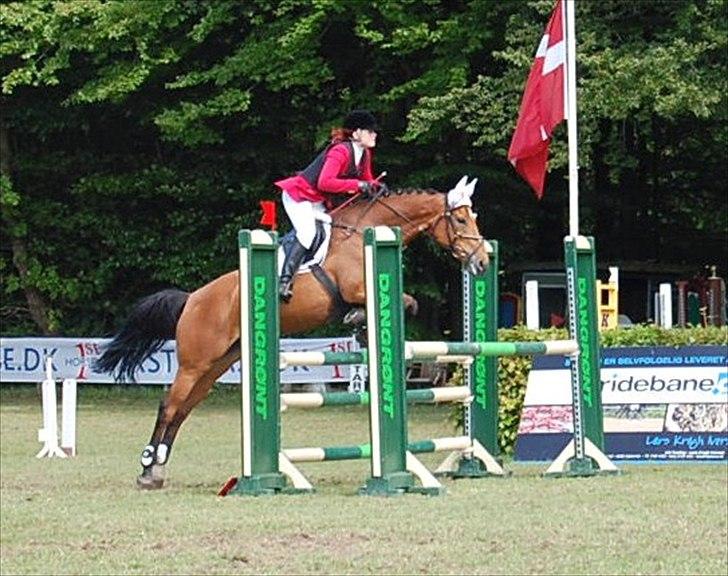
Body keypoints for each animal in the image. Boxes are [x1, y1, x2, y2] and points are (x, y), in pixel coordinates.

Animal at [94, 176, 489, 489]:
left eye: (473, 217)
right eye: (459, 218)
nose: (483, 261)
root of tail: (192, 298)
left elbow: (409, 303)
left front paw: (362, 328)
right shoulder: (355, 287)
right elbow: (401, 303)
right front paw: (358, 321)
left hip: (215, 365)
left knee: (183, 409)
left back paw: (158, 468)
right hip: (195, 362)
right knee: (169, 406)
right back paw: (147, 468)